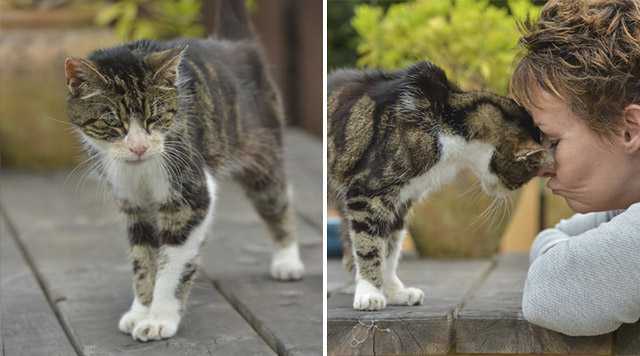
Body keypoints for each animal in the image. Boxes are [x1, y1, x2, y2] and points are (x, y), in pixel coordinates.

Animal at [63, 0, 304, 340]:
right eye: (112, 121)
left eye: (156, 116)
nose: (138, 146)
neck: (141, 170)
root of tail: (234, 42)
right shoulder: (132, 203)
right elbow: (143, 259)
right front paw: (140, 310)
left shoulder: (190, 196)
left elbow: (173, 261)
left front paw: (159, 318)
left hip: (263, 153)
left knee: (278, 197)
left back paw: (287, 259)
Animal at [328, 60, 552, 308]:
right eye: (523, 177)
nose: (510, 192)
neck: (448, 118)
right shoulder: (369, 193)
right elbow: (370, 245)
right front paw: (370, 292)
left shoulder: (402, 201)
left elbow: (390, 249)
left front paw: (395, 291)